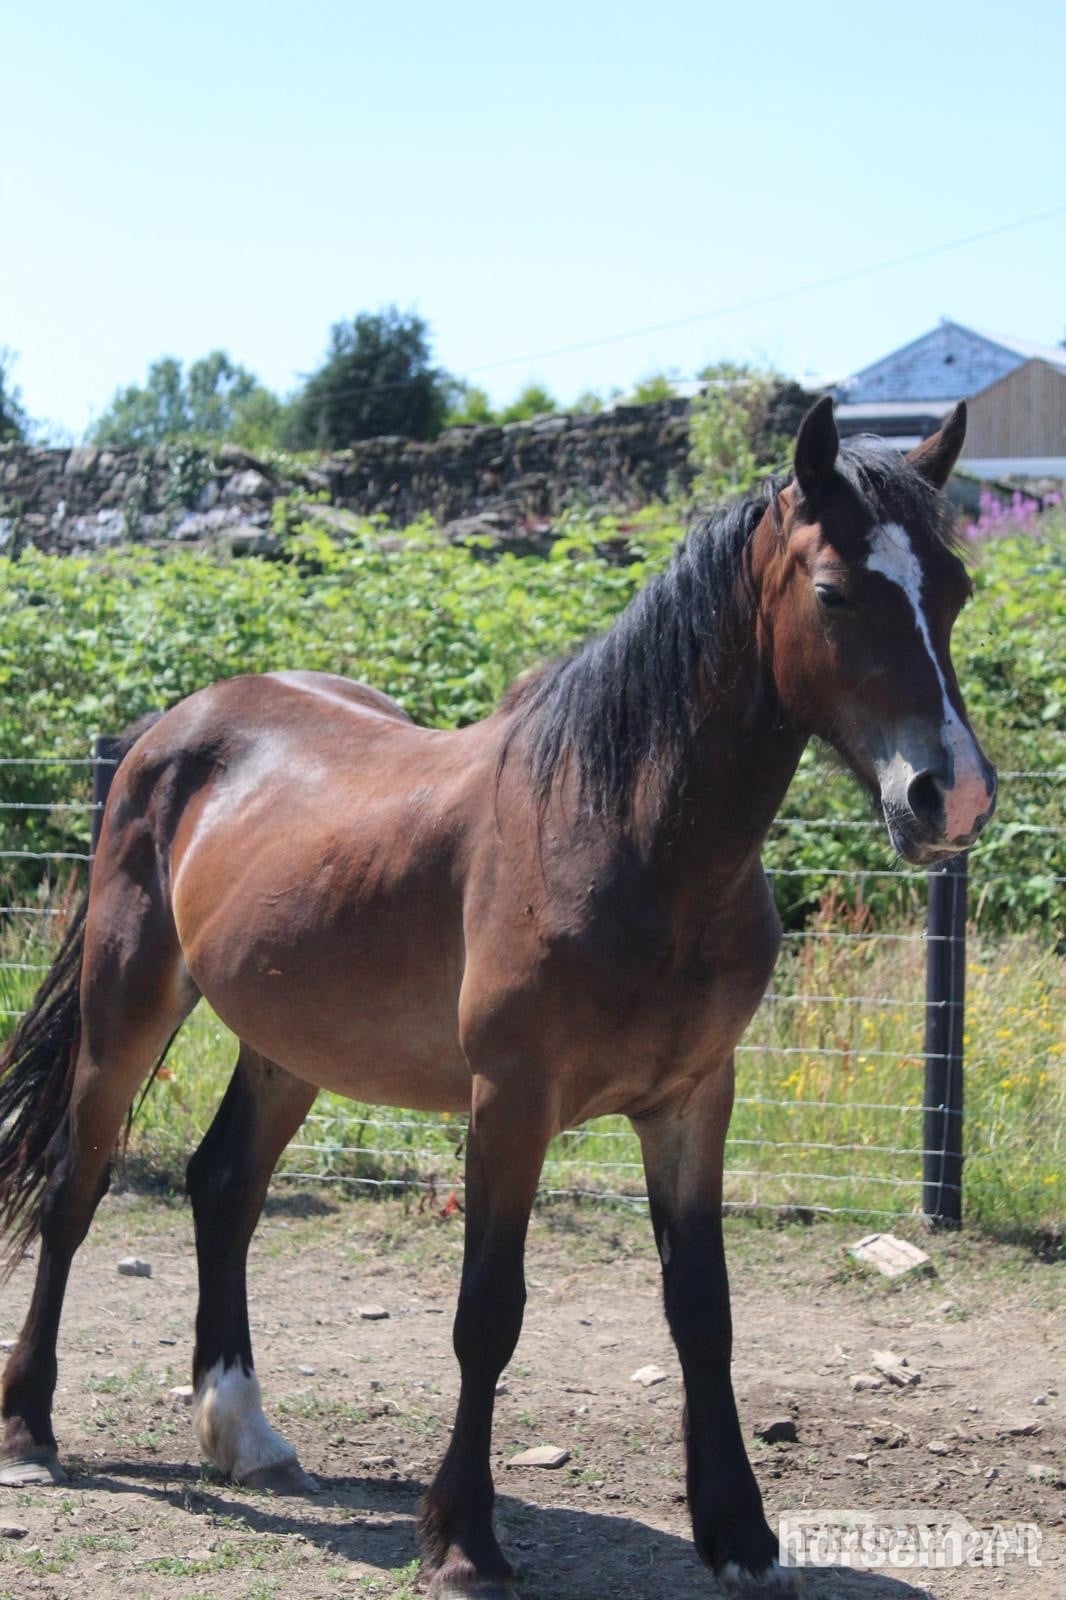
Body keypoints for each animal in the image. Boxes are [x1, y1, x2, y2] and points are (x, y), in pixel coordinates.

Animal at [0, 397, 995, 1597]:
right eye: (836, 592)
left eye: (954, 586)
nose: (952, 797)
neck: (626, 835)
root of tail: (167, 730)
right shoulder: (509, 1101)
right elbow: (489, 1313)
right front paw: (464, 1538)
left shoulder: (693, 1100)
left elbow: (702, 1313)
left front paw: (742, 1536)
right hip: (130, 1001)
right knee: (76, 1185)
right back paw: (30, 1431)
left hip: (288, 1044)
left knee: (224, 1184)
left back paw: (244, 1431)